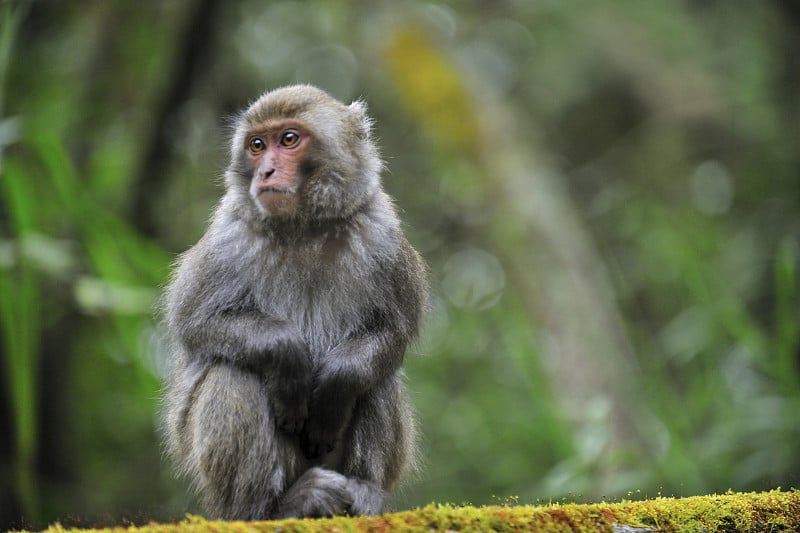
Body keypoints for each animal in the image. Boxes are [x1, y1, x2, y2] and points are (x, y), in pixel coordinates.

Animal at [159, 84, 428, 520]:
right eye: (256, 145)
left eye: (288, 140)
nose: (266, 172)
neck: (305, 227)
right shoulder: (228, 239)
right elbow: (196, 324)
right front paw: (287, 356)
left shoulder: (382, 234)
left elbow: (393, 330)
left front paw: (338, 380)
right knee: (234, 372)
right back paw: (273, 507)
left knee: (378, 377)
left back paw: (364, 490)